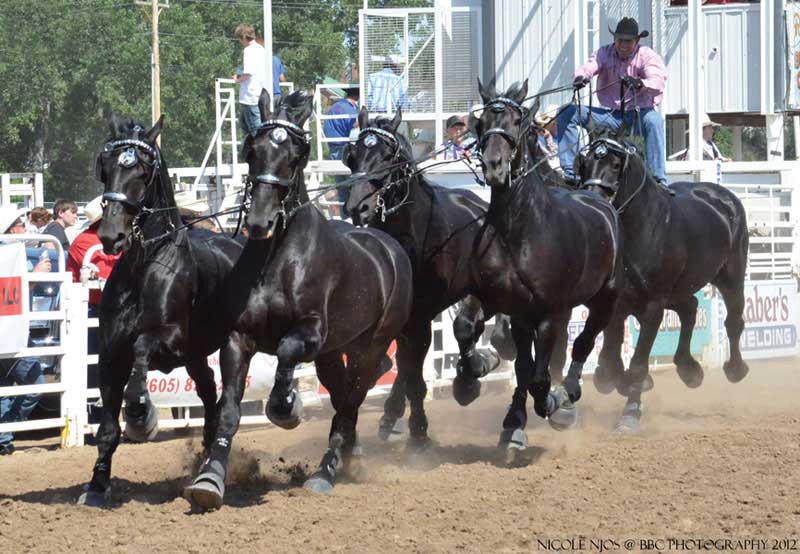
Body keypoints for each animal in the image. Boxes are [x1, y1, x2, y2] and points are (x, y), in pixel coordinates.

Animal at [80, 116, 247, 504]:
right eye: (106, 168)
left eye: (142, 172)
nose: (111, 235)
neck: (145, 265)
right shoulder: (109, 354)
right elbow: (107, 427)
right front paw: (97, 484)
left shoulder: (169, 339)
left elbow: (141, 351)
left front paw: (141, 415)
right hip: (197, 355)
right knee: (208, 391)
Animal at [184, 89, 410, 504]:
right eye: (251, 150)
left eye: (295, 154)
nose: (259, 221)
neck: (279, 257)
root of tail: (388, 247)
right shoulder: (238, 339)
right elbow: (229, 411)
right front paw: (210, 477)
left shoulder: (311, 333)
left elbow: (286, 354)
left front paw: (288, 406)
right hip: (335, 354)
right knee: (344, 396)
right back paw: (350, 453)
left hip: (369, 345)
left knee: (351, 401)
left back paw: (326, 470)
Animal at [344, 105, 520, 446]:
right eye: (352, 155)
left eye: (389, 156)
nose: (357, 206)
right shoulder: (406, 316)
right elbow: (406, 368)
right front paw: (409, 421)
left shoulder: (423, 314)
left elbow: (419, 366)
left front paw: (420, 430)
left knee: (467, 330)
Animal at [468, 78, 624, 444]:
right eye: (480, 123)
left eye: (517, 121)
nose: (494, 166)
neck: (518, 230)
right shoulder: (507, 306)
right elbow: (508, 355)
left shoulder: (549, 313)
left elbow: (540, 376)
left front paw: (553, 403)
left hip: (604, 299)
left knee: (582, 343)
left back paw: (567, 395)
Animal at [580, 136, 748, 430]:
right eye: (586, 162)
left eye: (615, 164)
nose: (594, 199)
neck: (641, 227)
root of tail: (724, 197)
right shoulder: (616, 305)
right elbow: (610, 359)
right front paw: (616, 380)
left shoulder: (652, 306)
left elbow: (637, 362)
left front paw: (631, 412)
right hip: (679, 290)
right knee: (690, 308)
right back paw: (689, 368)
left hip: (731, 277)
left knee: (733, 321)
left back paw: (734, 369)